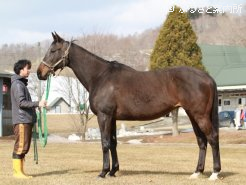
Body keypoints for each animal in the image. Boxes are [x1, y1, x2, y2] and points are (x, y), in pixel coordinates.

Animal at [36, 32, 221, 180]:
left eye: (53, 51)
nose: (39, 73)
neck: (100, 76)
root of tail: (207, 77)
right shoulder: (112, 118)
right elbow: (113, 142)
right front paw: (113, 171)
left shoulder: (104, 116)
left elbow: (104, 143)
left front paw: (103, 172)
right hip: (192, 114)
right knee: (201, 141)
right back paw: (197, 172)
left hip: (200, 115)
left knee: (212, 138)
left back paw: (214, 173)